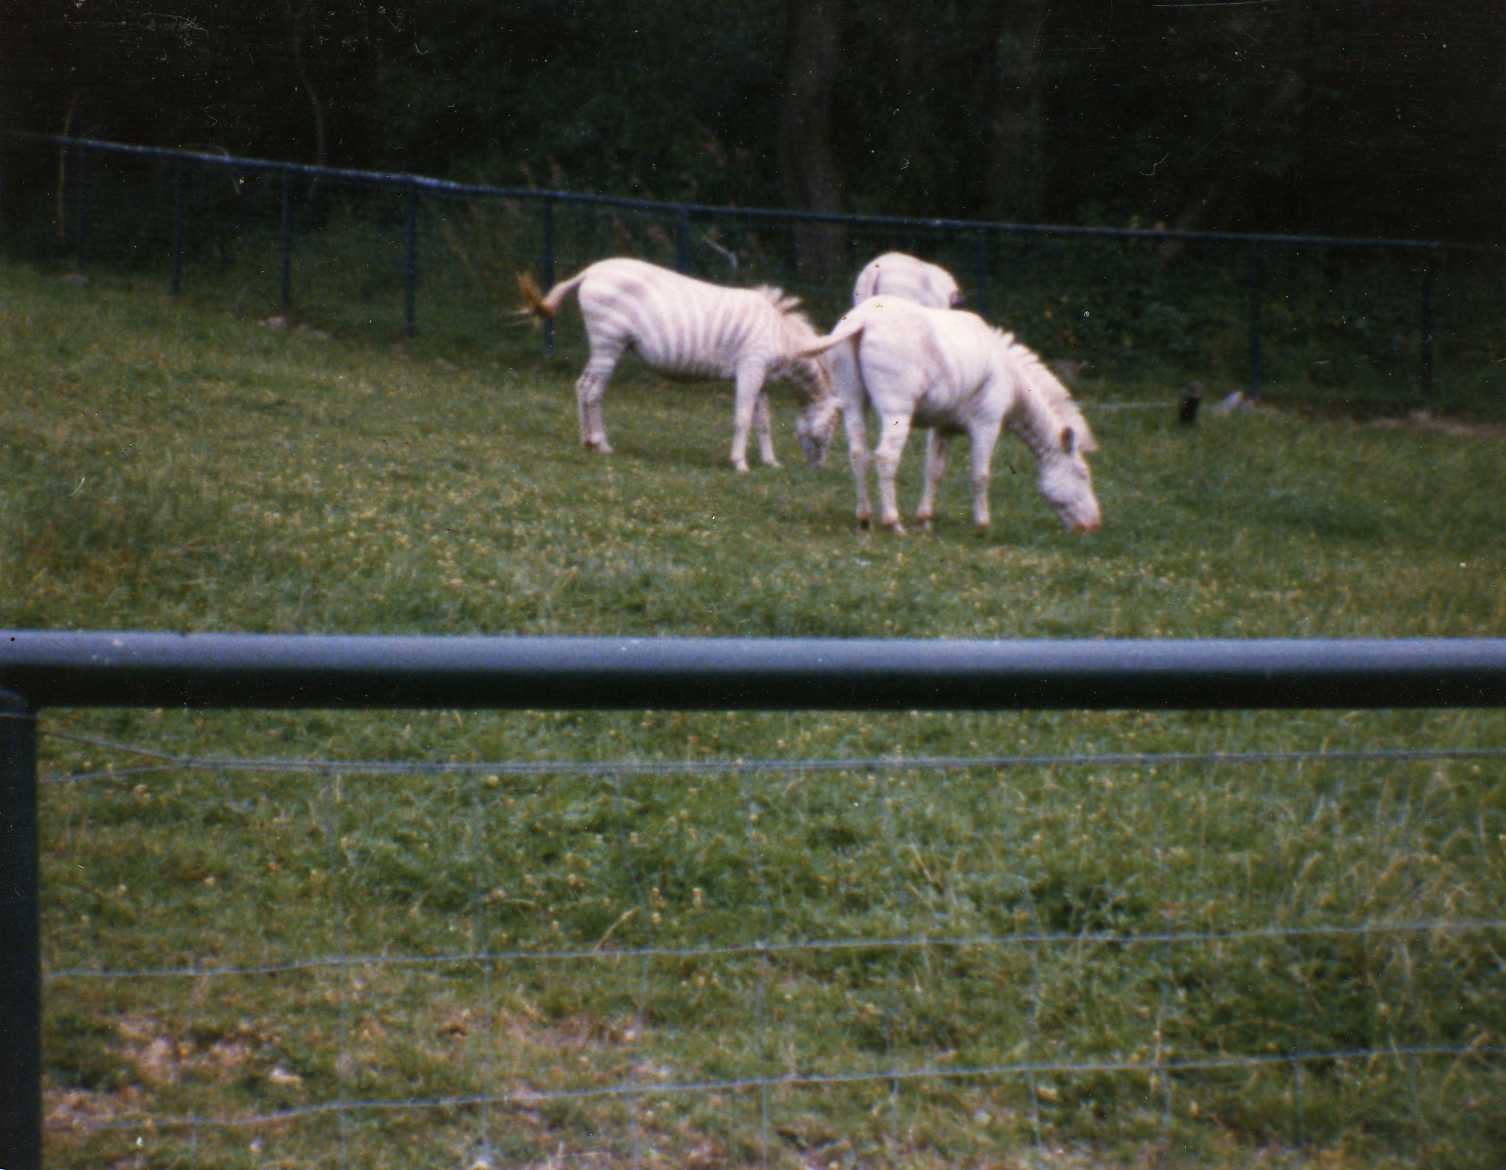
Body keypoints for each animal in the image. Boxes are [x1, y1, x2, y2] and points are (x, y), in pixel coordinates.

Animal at [518, 258, 841, 472]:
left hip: (604, 344)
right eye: (829, 428)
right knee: (593, 390)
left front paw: (771, 462)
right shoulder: (751, 366)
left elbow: (763, 422)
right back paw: (601, 443)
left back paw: (586, 441)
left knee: (582, 385)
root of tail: (592, 270)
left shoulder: (761, 377)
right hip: (609, 341)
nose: (819, 470)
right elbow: (743, 418)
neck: (782, 335)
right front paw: (740, 463)